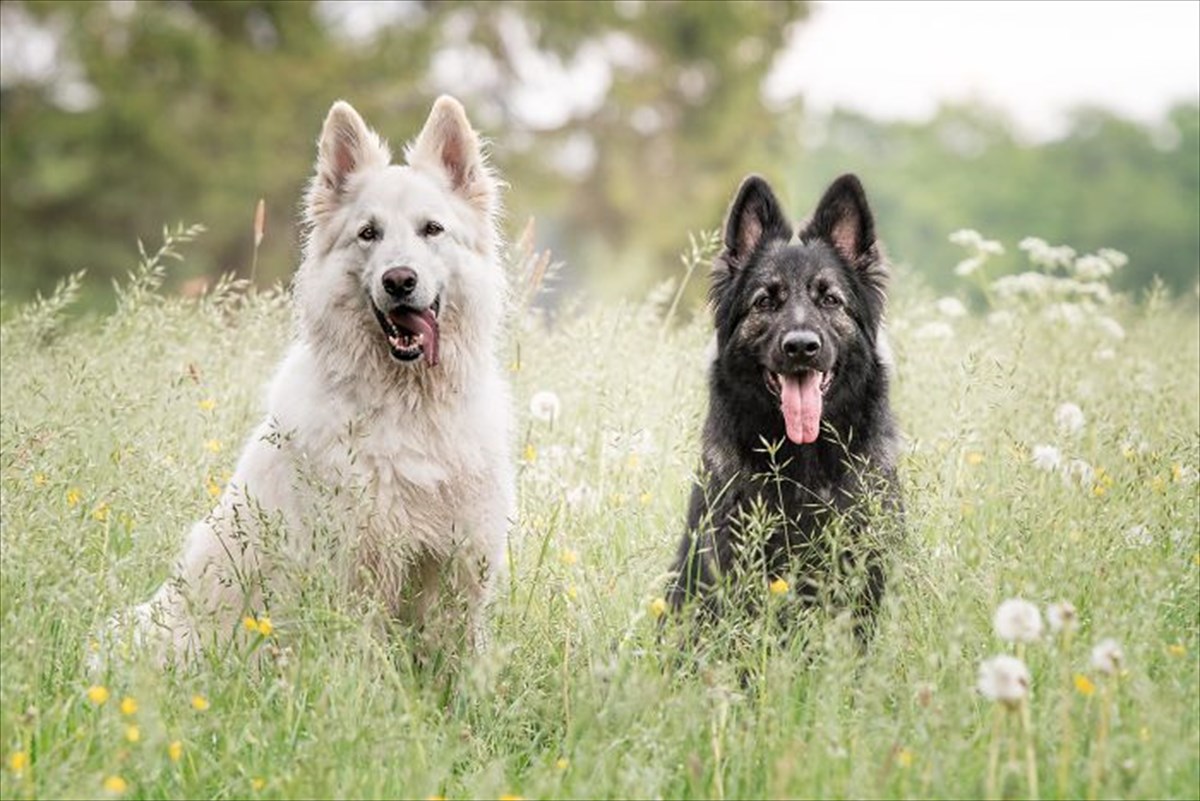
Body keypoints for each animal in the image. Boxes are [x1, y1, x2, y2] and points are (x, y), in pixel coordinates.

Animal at [100, 97, 513, 666]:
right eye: (368, 233)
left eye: (432, 229)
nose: (399, 281)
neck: (410, 407)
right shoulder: (357, 577)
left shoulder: (460, 568)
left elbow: (461, 662)